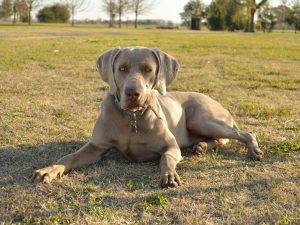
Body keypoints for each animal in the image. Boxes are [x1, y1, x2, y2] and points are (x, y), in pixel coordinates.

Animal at [31, 46, 264, 187]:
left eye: (148, 69)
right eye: (122, 68)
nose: (133, 93)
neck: (132, 118)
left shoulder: (171, 147)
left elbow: (166, 158)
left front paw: (169, 175)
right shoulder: (96, 147)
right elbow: (68, 157)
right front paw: (48, 171)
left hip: (201, 119)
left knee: (244, 133)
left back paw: (253, 150)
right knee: (216, 140)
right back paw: (202, 146)